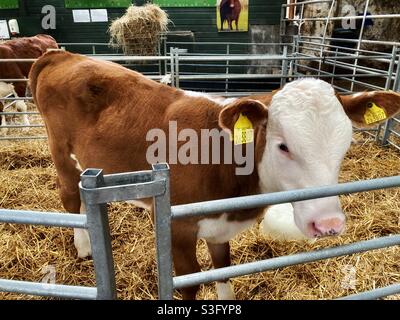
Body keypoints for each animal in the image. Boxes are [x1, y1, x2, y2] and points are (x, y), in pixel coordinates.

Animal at [29, 52, 400, 300]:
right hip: (61, 151)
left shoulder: (220, 227)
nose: (328, 224)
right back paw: (84, 247)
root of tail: (61, 54)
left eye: (345, 143)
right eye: (283, 146)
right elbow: (190, 283)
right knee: (70, 195)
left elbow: (224, 269)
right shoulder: (177, 228)